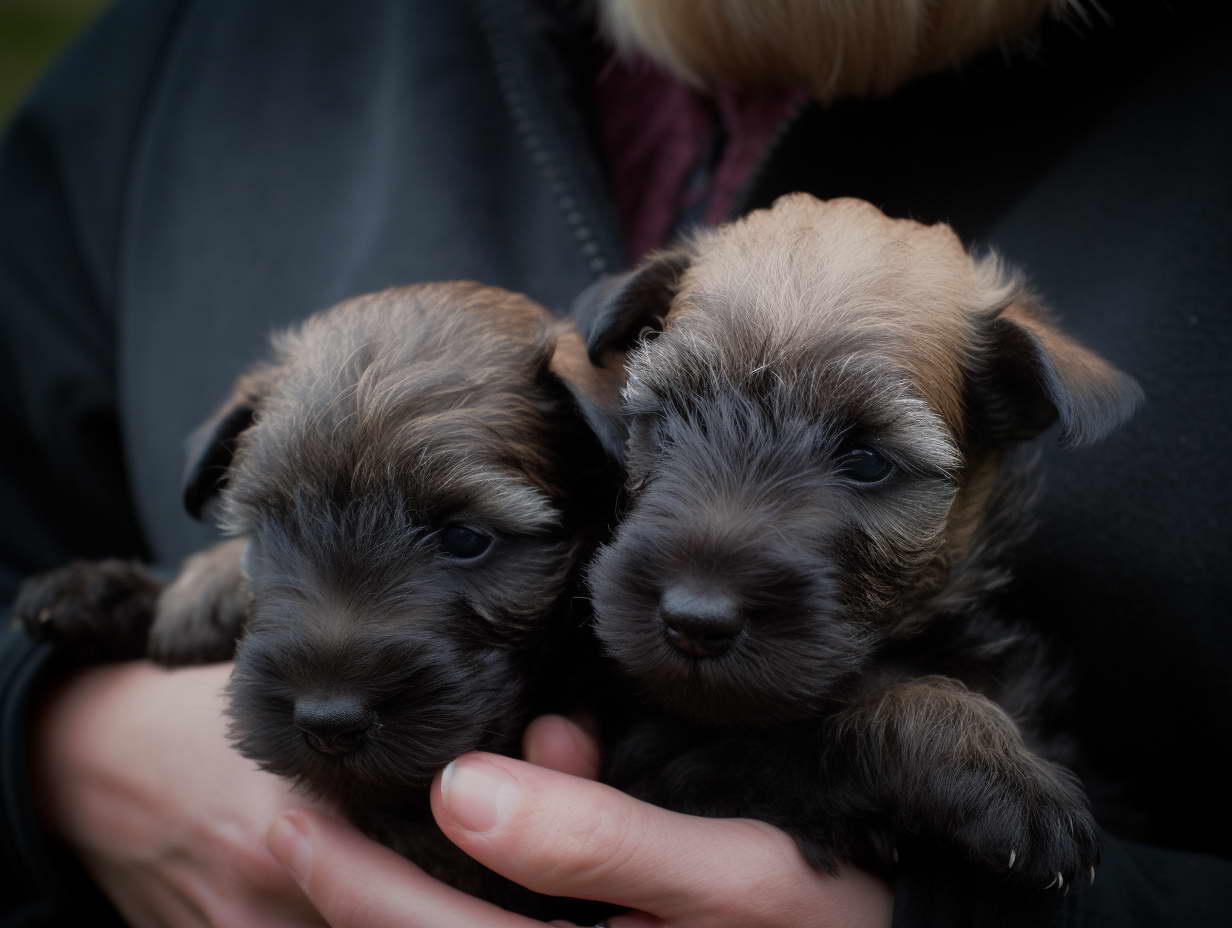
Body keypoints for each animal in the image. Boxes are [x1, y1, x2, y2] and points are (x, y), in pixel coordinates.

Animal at [571, 195, 1138, 892]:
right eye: (672, 418)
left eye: (868, 461)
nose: (694, 621)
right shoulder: (680, 761)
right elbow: (867, 715)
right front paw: (1005, 779)